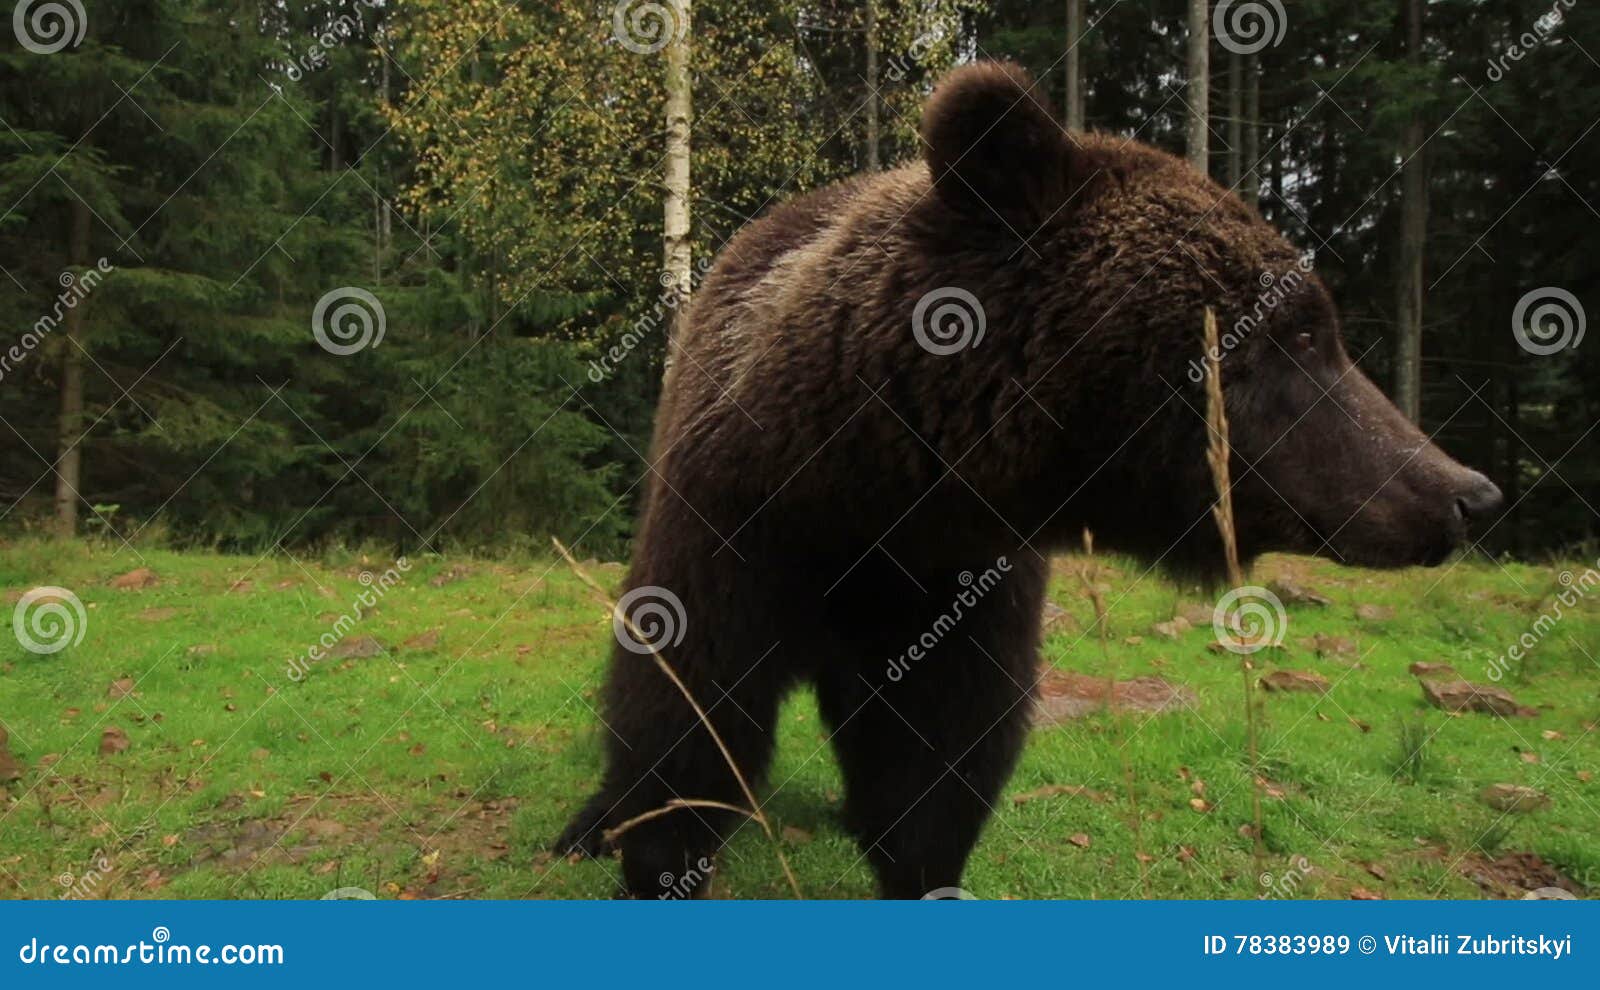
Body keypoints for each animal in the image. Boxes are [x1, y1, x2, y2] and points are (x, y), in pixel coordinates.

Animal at [556, 59, 1504, 895]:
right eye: (1305, 333)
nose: (1466, 494)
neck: (887, 485)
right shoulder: (745, 517)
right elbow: (686, 699)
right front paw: (655, 856)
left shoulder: (964, 577)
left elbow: (941, 748)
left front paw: (921, 870)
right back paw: (588, 824)